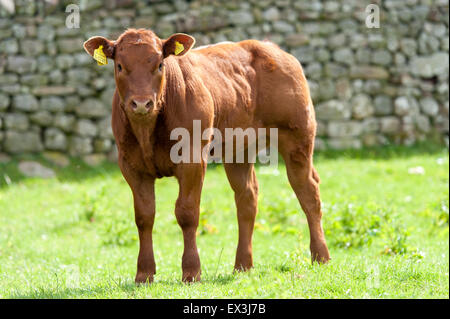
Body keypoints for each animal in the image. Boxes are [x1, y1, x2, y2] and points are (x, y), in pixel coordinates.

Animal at [84, 28, 330, 284]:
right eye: (120, 66)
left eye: (160, 64)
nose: (141, 103)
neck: (147, 132)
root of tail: (270, 47)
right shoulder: (130, 165)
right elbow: (144, 216)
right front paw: (144, 273)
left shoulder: (192, 158)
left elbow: (187, 212)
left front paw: (191, 271)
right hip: (239, 149)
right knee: (247, 197)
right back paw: (243, 265)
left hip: (298, 137)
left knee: (308, 192)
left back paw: (320, 256)